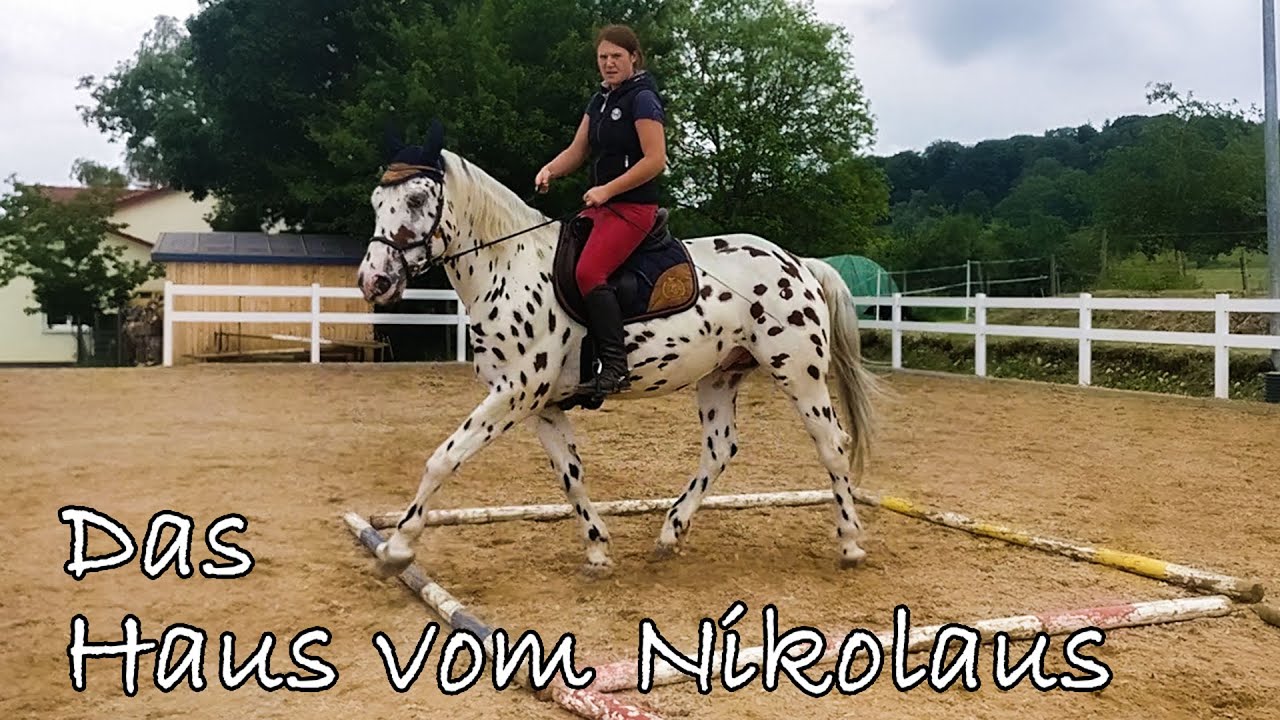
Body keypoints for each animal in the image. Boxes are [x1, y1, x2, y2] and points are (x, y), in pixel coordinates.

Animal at [357, 122, 882, 578]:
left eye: (417, 197)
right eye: (377, 201)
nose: (373, 281)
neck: (510, 268)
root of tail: (797, 261)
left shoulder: (514, 393)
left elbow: (443, 458)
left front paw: (397, 548)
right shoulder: (542, 406)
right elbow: (570, 473)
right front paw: (597, 550)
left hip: (799, 373)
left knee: (832, 444)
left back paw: (851, 542)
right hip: (719, 377)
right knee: (719, 450)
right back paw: (671, 533)